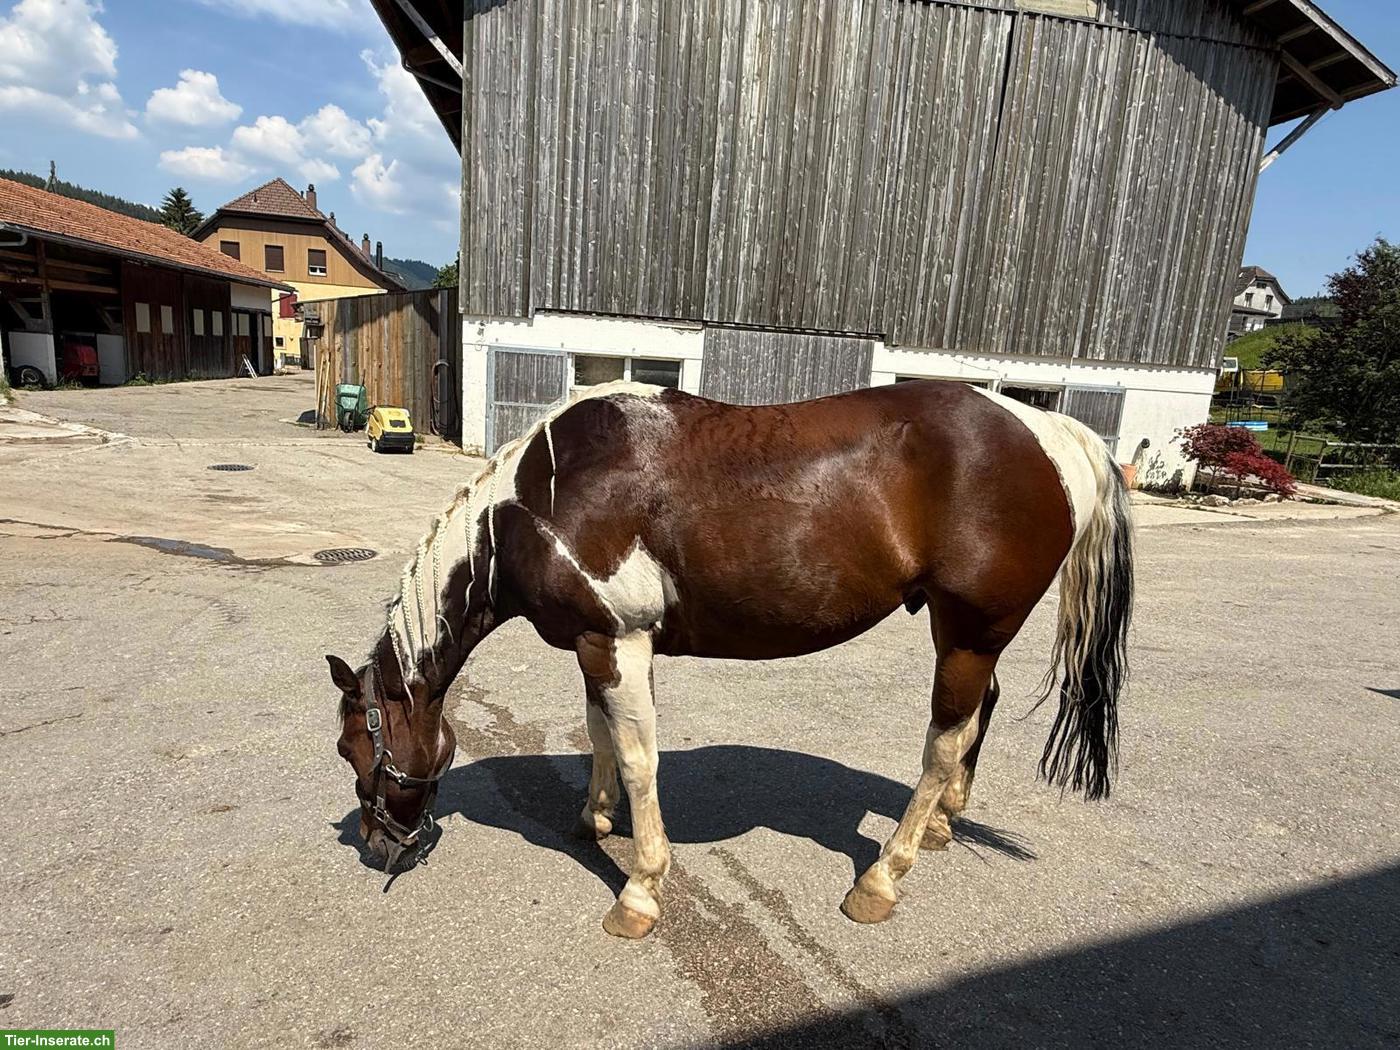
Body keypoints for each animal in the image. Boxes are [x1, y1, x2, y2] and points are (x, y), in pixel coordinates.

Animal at [328, 378, 1133, 938]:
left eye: (352, 749)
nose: (377, 847)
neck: (537, 502)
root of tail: (1054, 431)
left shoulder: (616, 640)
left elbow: (638, 758)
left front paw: (641, 890)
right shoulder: (603, 643)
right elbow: (599, 735)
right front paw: (595, 816)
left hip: (968, 631)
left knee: (945, 741)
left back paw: (881, 880)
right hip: (973, 635)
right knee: (979, 716)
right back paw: (942, 825)